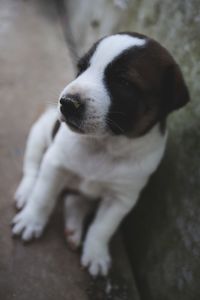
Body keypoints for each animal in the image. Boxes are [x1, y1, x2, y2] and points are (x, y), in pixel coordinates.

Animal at [11, 32, 190, 276]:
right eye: (81, 68)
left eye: (123, 81)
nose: (67, 103)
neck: (104, 145)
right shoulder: (55, 164)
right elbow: (43, 196)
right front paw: (31, 220)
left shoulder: (121, 199)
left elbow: (103, 227)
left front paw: (96, 253)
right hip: (39, 134)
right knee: (32, 170)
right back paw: (26, 193)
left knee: (76, 201)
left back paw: (74, 230)